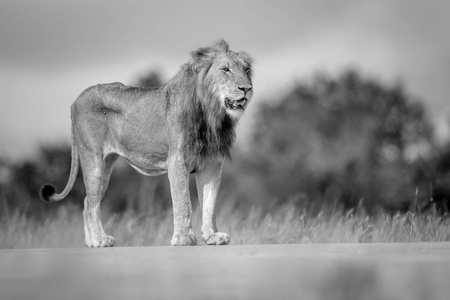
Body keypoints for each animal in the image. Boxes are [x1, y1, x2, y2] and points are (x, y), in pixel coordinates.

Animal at [38, 39, 253, 246]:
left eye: (246, 70)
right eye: (225, 69)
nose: (247, 89)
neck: (212, 114)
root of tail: (76, 100)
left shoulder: (211, 164)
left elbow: (210, 203)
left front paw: (212, 236)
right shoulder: (177, 160)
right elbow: (183, 202)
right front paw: (183, 238)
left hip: (106, 166)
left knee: (87, 202)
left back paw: (92, 242)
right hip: (94, 160)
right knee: (91, 205)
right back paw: (100, 240)